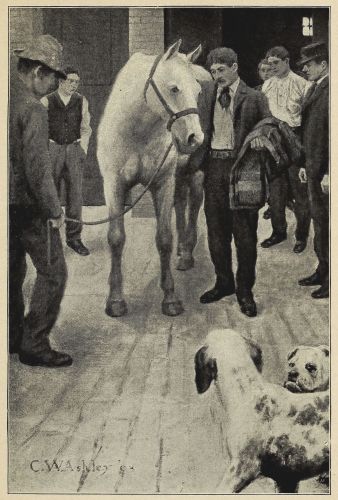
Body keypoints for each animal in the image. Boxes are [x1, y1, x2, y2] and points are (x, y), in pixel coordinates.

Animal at [96, 41, 205, 318]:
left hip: (195, 174)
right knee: (181, 203)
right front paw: (115, 301)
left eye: (198, 90)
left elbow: (164, 238)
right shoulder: (113, 185)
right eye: (174, 88)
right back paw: (182, 253)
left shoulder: (162, 183)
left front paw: (170, 299)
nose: (194, 139)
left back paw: (187, 253)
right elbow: (116, 238)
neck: (137, 130)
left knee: (194, 205)